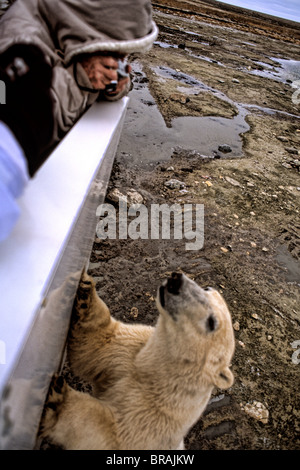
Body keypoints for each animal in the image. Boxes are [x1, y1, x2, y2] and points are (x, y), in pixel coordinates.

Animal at [39, 270, 236, 450]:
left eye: (212, 322)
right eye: (207, 288)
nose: (176, 279)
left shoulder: (155, 417)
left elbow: (109, 434)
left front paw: (57, 399)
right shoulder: (133, 350)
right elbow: (96, 346)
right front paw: (85, 290)